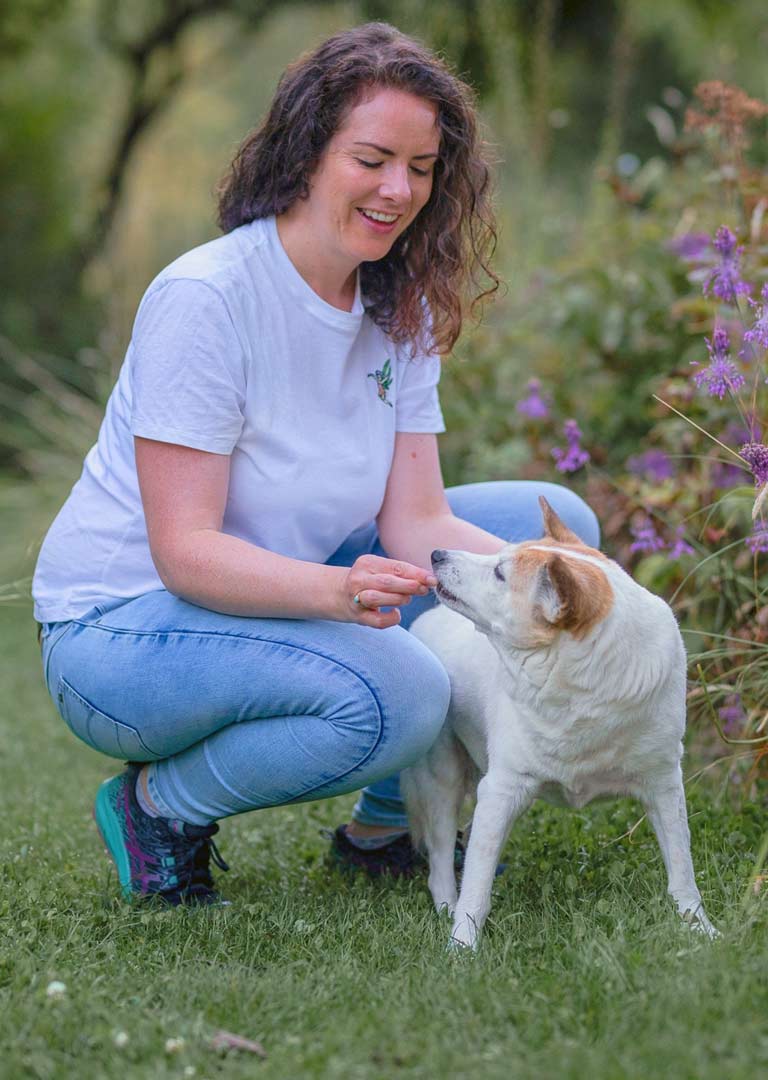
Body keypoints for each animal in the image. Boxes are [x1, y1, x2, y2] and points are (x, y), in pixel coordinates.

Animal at [401, 494, 712, 946]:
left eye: (500, 573)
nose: (437, 554)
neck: (583, 688)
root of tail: (424, 622)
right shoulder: (501, 788)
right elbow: (476, 888)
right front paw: (462, 945)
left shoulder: (664, 784)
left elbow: (682, 866)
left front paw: (700, 927)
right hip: (443, 776)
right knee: (442, 856)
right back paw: (446, 906)